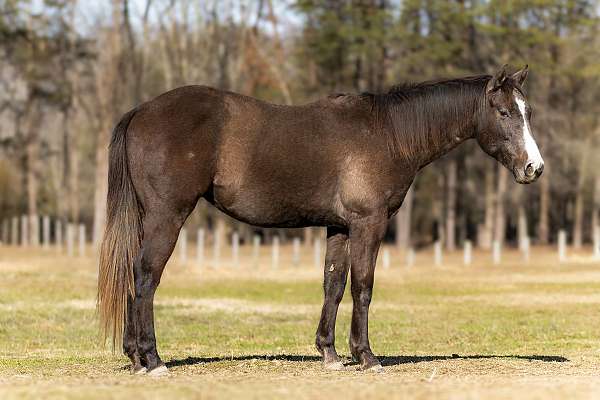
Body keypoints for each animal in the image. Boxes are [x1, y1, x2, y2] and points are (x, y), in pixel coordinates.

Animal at [97, 65, 544, 376]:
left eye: (528, 112)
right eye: (504, 112)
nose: (534, 168)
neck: (389, 135)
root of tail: (140, 111)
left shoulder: (340, 228)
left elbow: (334, 284)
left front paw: (329, 353)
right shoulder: (368, 224)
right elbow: (363, 287)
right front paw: (366, 356)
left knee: (133, 276)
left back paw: (134, 356)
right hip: (166, 216)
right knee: (146, 276)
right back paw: (152, 359)